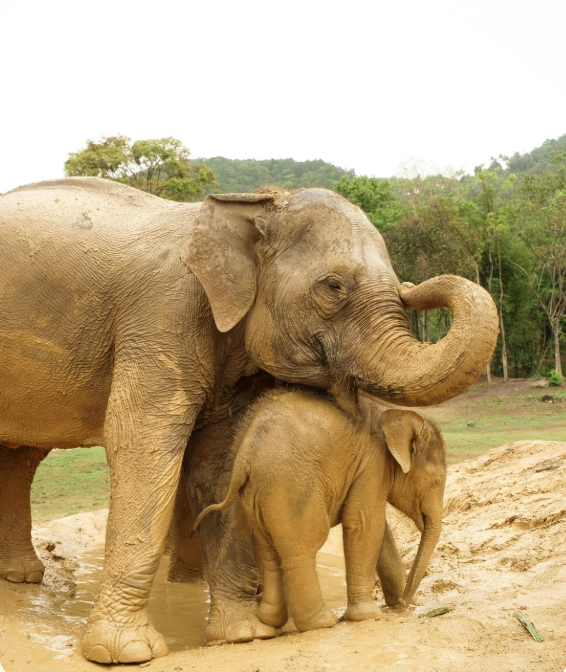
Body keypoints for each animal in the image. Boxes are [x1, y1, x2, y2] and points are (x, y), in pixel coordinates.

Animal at [193, 388, 445, 632]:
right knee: (305, 544)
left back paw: (271, 620)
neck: (391, 417)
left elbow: (378, 528)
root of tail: (244, 457)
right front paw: (369, 616)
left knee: (268, 546)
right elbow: (365, 524)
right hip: (290, 486)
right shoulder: (373, 464)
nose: (405, 602)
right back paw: (323, 622)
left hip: (256, 494)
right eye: (436, 482)